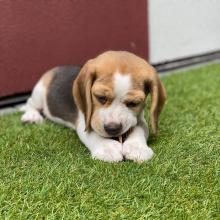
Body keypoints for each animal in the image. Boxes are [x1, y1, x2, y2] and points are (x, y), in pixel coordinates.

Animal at [20, 50, 166, 162]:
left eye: (133, 103)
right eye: (101, 97)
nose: (112, 128)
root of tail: (54, 69)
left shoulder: (140, 120)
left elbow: (139, 130)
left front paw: (137, 148)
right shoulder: (84, 120)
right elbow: (93, 134)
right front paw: (107, 148)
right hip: (39, 94)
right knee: (30, 103)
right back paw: (31, 116)